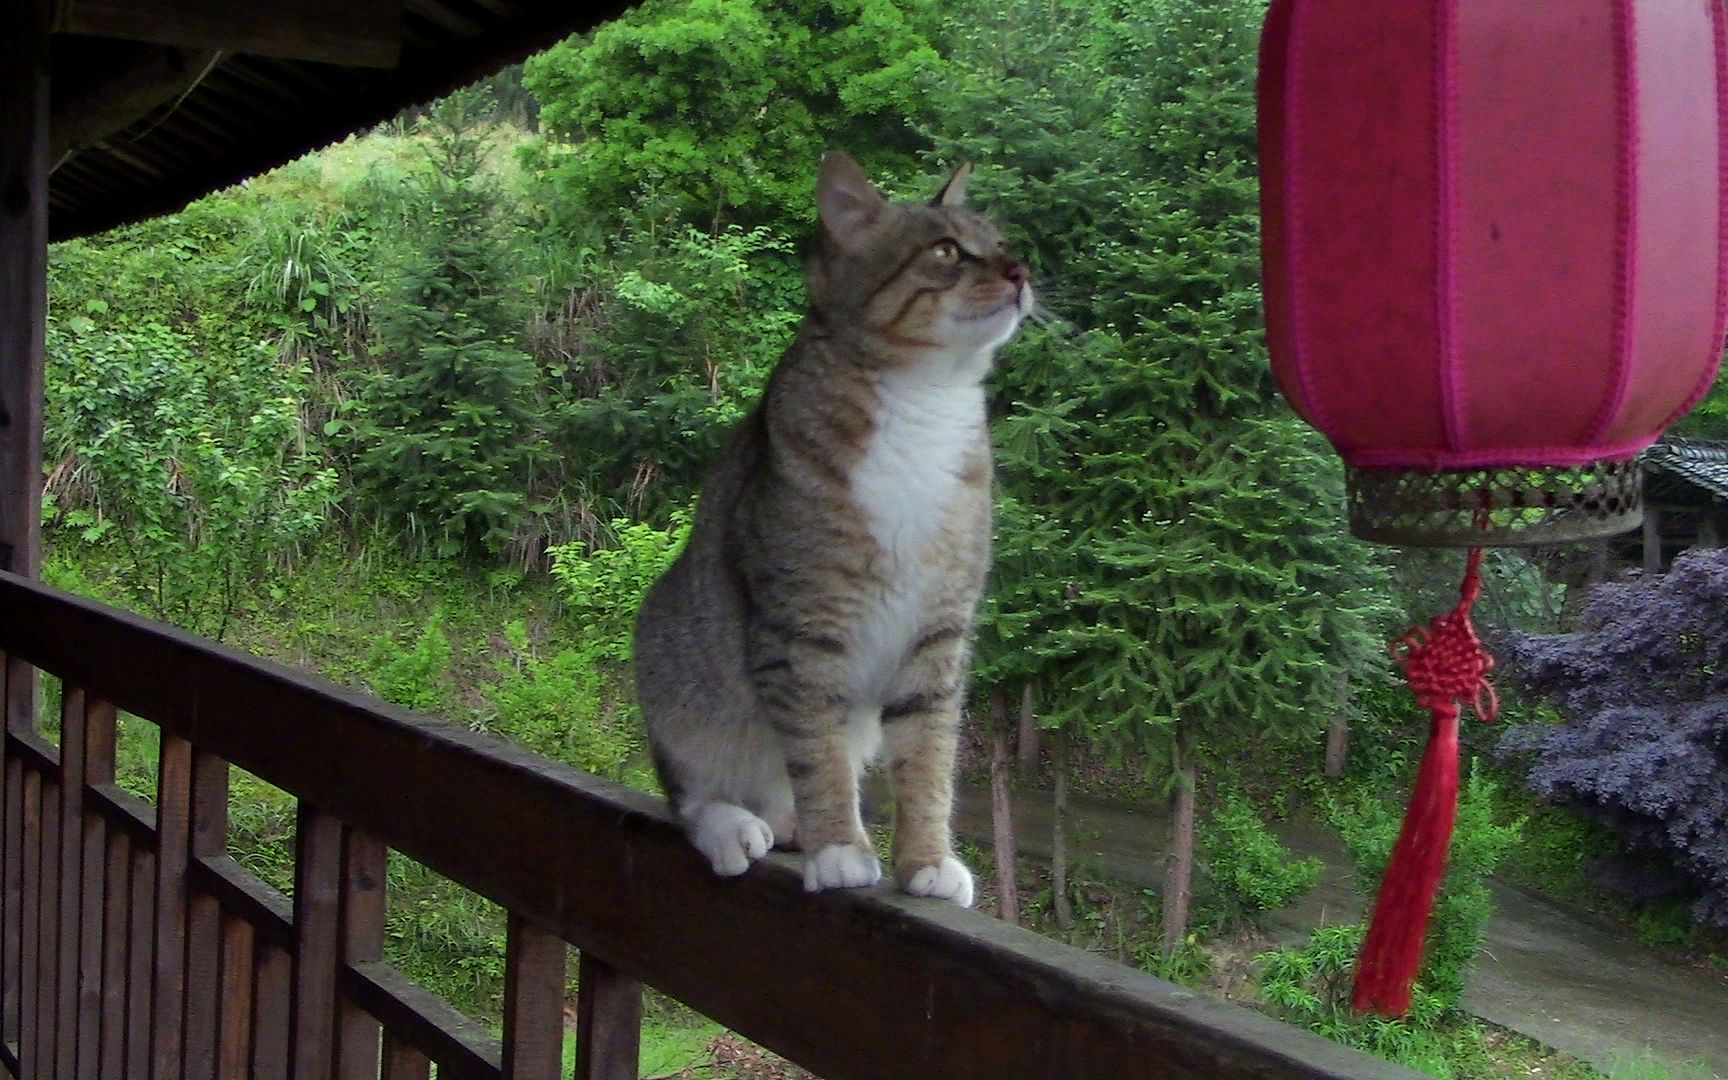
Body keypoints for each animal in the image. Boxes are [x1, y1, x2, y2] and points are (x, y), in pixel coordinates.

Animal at [642, 147, 1029, 898]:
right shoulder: (802, 627)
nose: (1020, 271)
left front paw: (927, 861)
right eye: (945, 251)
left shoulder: (938, 631)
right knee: (694, 792)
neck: (923, 399)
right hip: (675, 666)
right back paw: (736, 826)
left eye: (1000, 244)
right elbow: (818, 753)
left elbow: (928, 757)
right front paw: (841, 849)